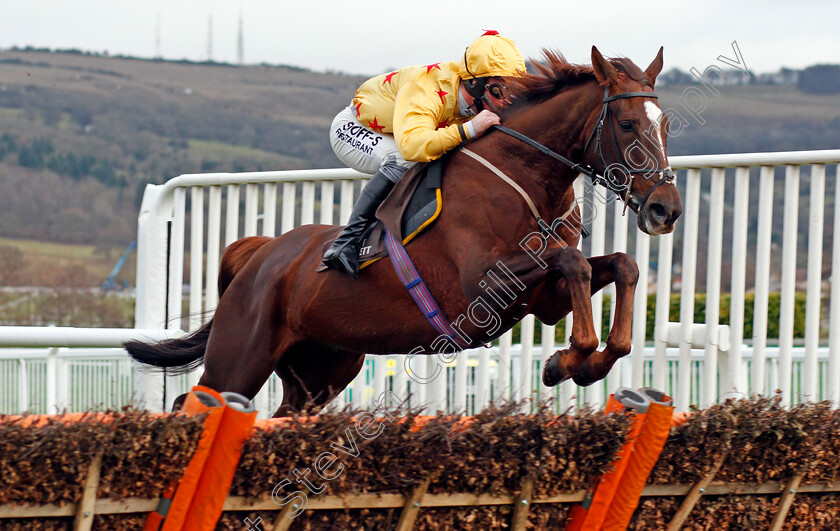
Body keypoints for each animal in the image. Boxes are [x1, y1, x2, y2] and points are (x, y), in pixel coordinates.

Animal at [130, 47, 684, 418]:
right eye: (628, 124)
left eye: (665, 125)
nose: (667, 209)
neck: (522, 173)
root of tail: (261, 256)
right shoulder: (483, 283)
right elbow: (572, 263)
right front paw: (567, 361)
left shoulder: (543, 298)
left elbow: (620, 266)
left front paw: (581, 363)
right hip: (240, 357)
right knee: (189, 402)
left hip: (321, 371)